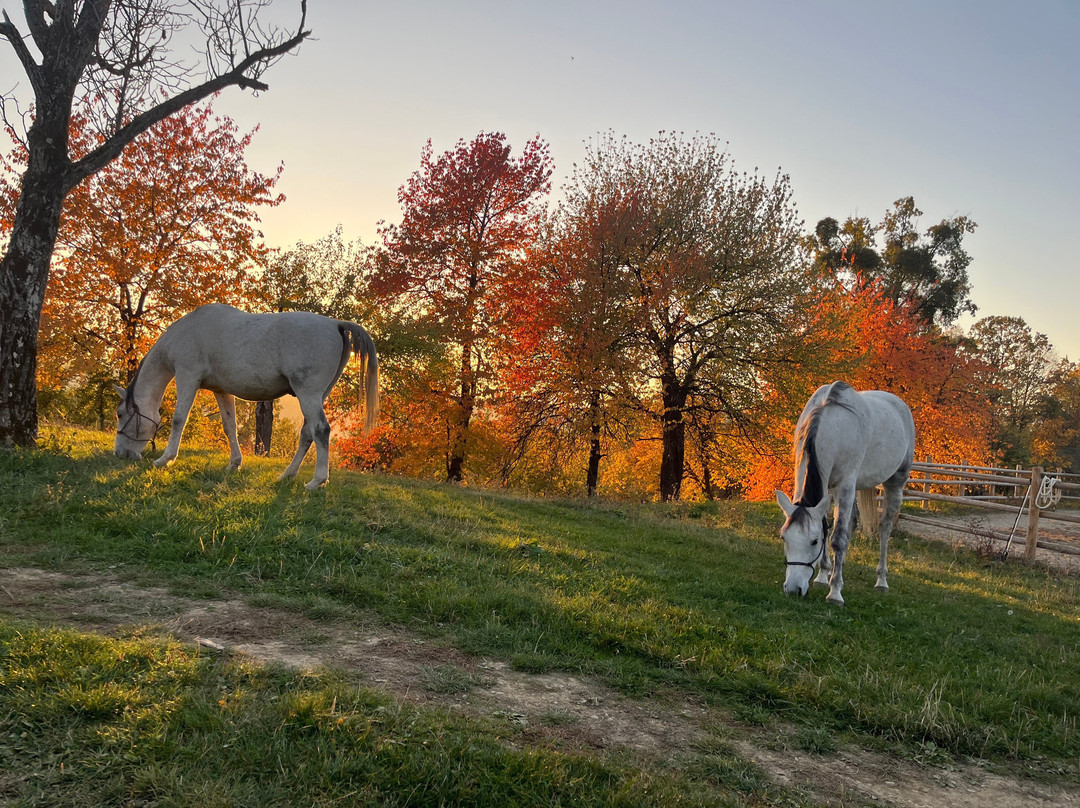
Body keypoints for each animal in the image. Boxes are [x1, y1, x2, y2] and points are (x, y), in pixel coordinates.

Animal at [114, 304, 379, 490]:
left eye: (120, 414)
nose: (119, 454)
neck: (187, 331)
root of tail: (336, 324)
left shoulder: (187, 376)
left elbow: (179, 419)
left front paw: (165, 459)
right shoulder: (221, 390)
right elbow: (229, 426)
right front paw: (234, 463)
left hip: (309, 394)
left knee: (321, 430)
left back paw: (316, 481)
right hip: (318, 395)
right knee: (307, 434)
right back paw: (287, 475)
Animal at [774, 381, 915, 606]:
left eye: (814, 541)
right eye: (783, 538)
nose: (793, 589)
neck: (831, 426)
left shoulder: (845, 485)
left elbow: (837, 538)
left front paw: (835, 593)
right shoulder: (826, 487)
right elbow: (828, 528)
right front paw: (824, 576)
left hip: (895, 482)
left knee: (885, 527)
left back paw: (881, 581)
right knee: (853, 521)